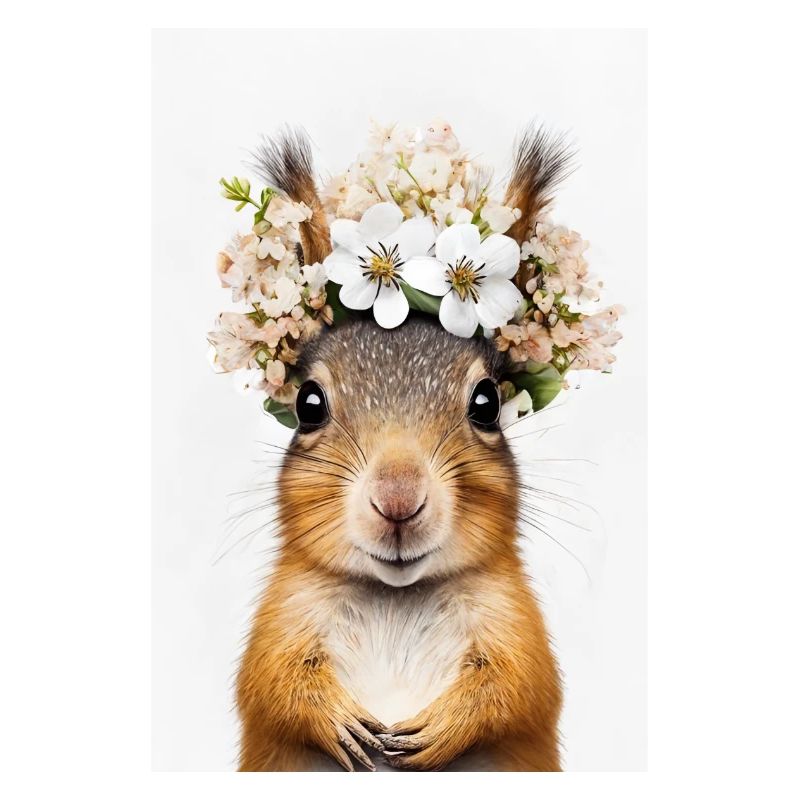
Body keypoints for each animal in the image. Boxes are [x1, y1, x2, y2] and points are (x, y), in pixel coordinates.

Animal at [237, 125, 572, 771]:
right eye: (308, 404)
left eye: (486, 403)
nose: (398, 501)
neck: (396, 599)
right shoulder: (279, 625)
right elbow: (273, 687)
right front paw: (337, 720)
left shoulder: (518, 629)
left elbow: (518, 690)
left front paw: (441, 727)